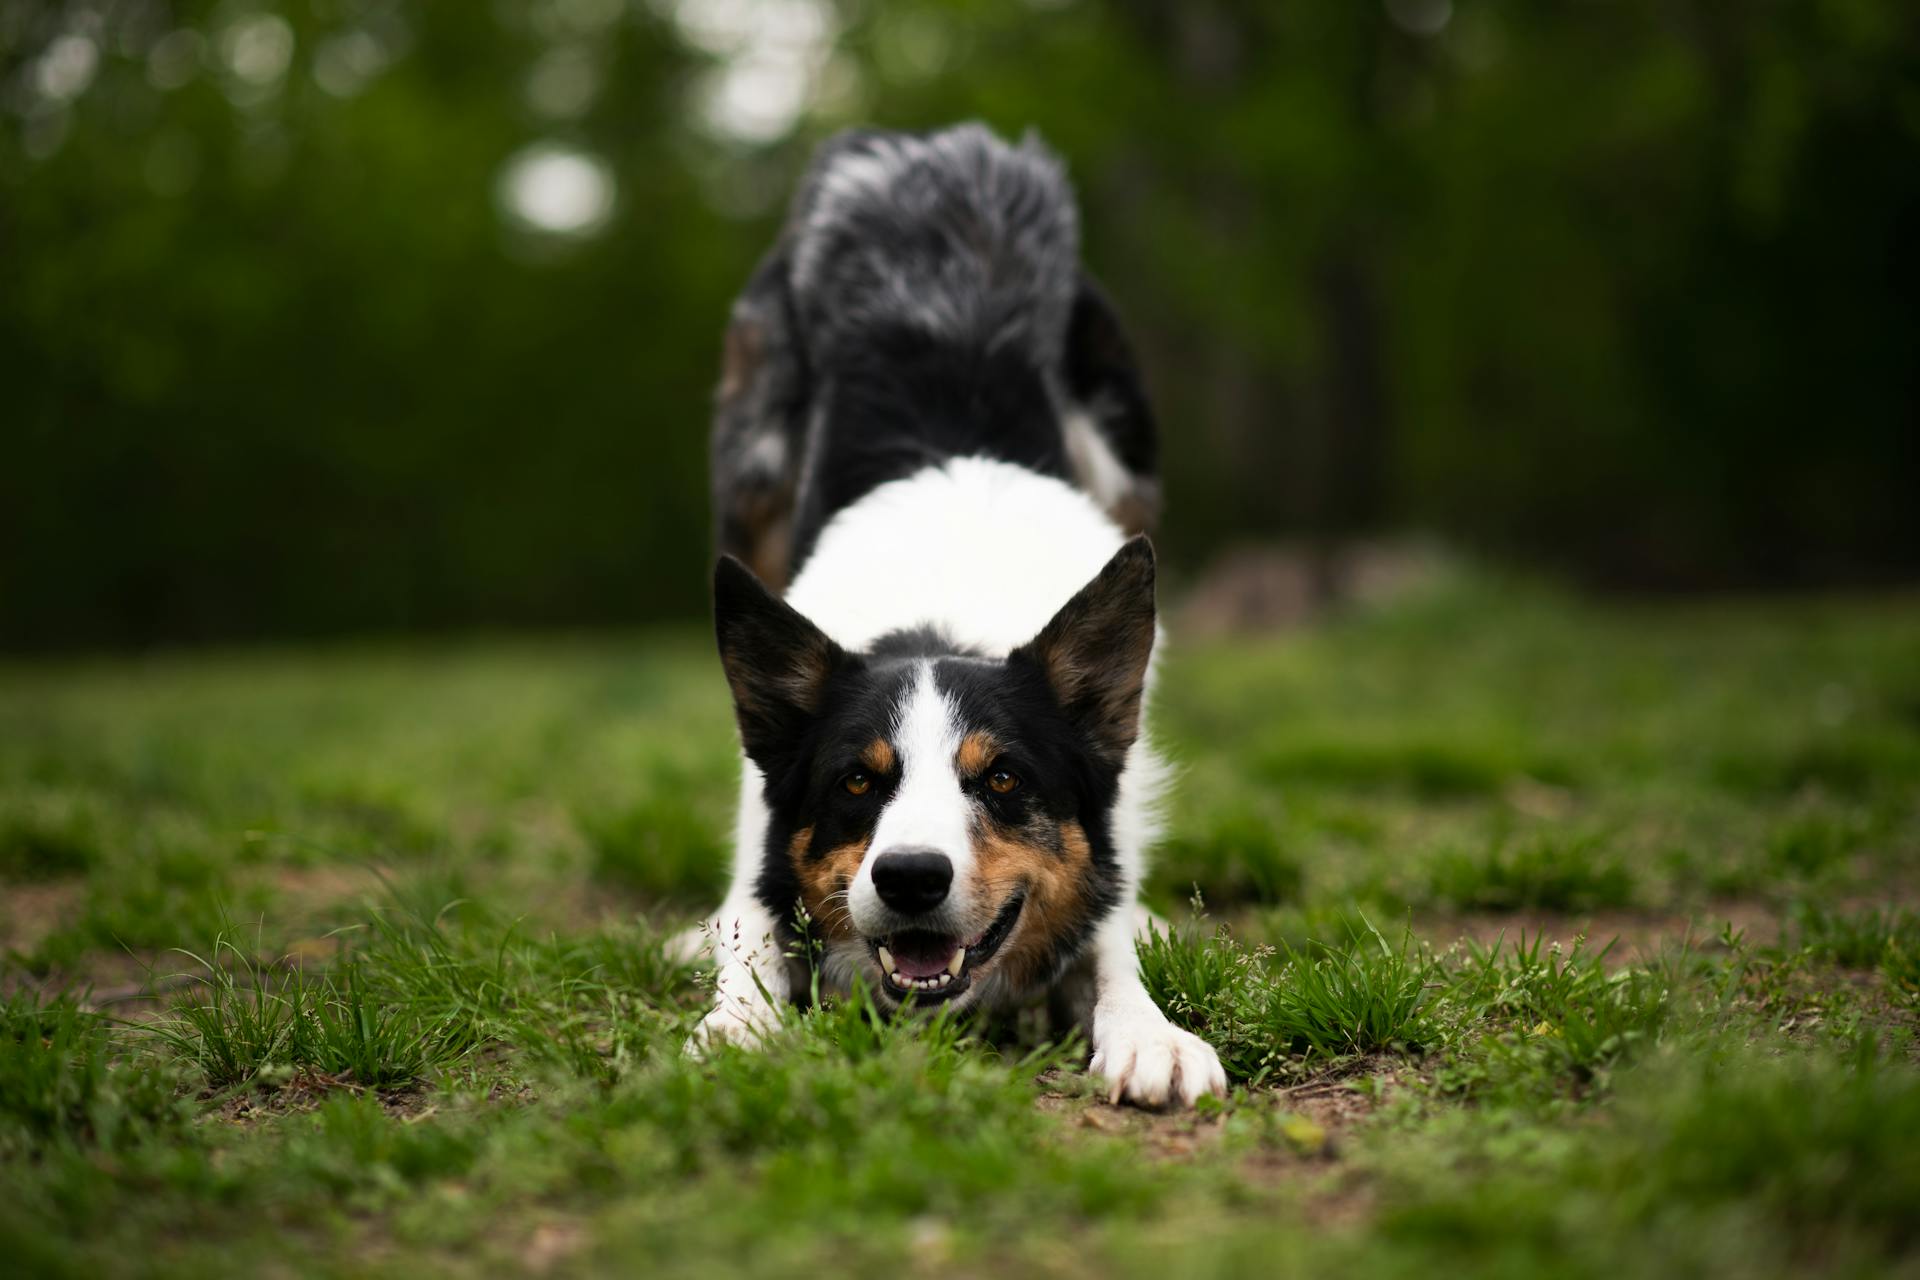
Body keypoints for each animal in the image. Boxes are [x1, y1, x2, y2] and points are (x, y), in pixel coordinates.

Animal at [695, 122, 1228, 1113]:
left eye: (1005, 780)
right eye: (856, 784)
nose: (910, 878)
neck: (937, 617)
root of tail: (929, 144)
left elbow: (1111, 937)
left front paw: (1150, 1032)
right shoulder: (762, 840)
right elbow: (750, 933)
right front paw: (738, 1026)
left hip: (1126, 458)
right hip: (751, 471)